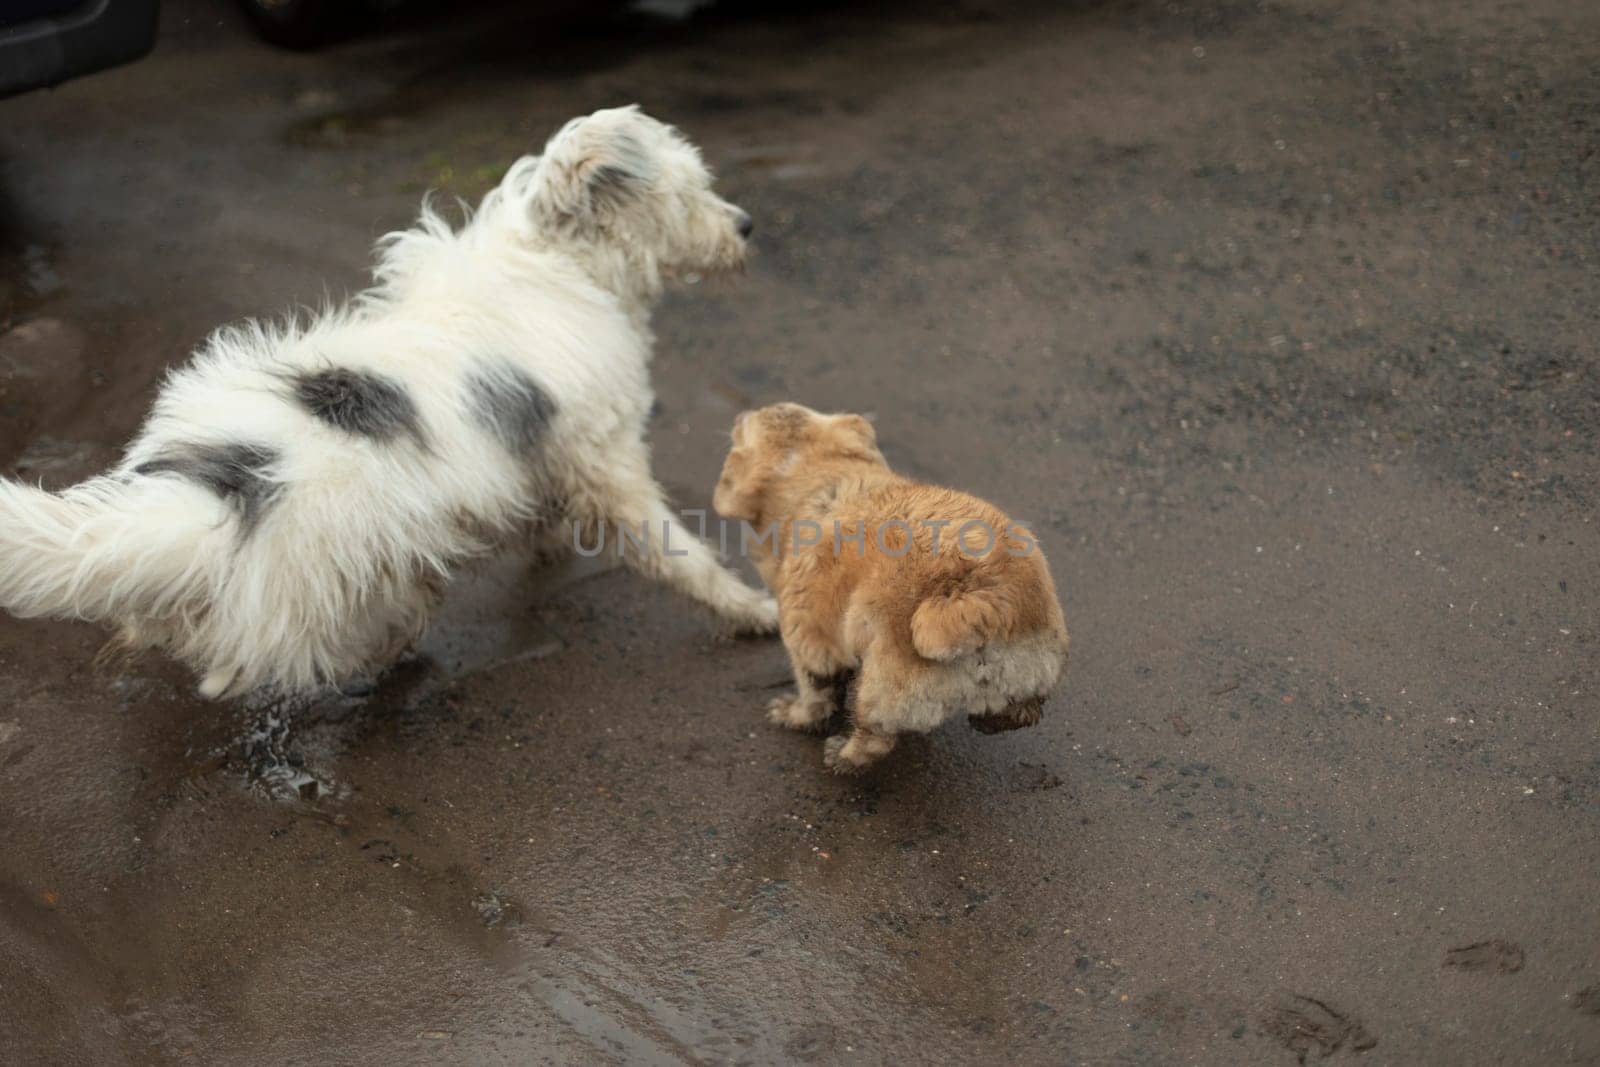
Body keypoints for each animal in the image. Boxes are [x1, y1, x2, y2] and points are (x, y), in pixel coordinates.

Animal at [0, 103, 777, 697]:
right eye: (689, 193)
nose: (746, 225)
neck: (560, 263)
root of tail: (217, 502)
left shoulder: (550, 447)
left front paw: (549, 537)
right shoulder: (603, 452)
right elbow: (671, 548)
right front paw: (747, 608)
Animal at [716, 404, 1068, 771]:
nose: (740, 415)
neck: (824, 478)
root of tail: (976, 599)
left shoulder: (809, 635)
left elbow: (815, 690)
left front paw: (794, 714)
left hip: (884, 683)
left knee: (874, 736)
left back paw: (842, 754)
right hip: (1035, 662)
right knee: (1025, 710)